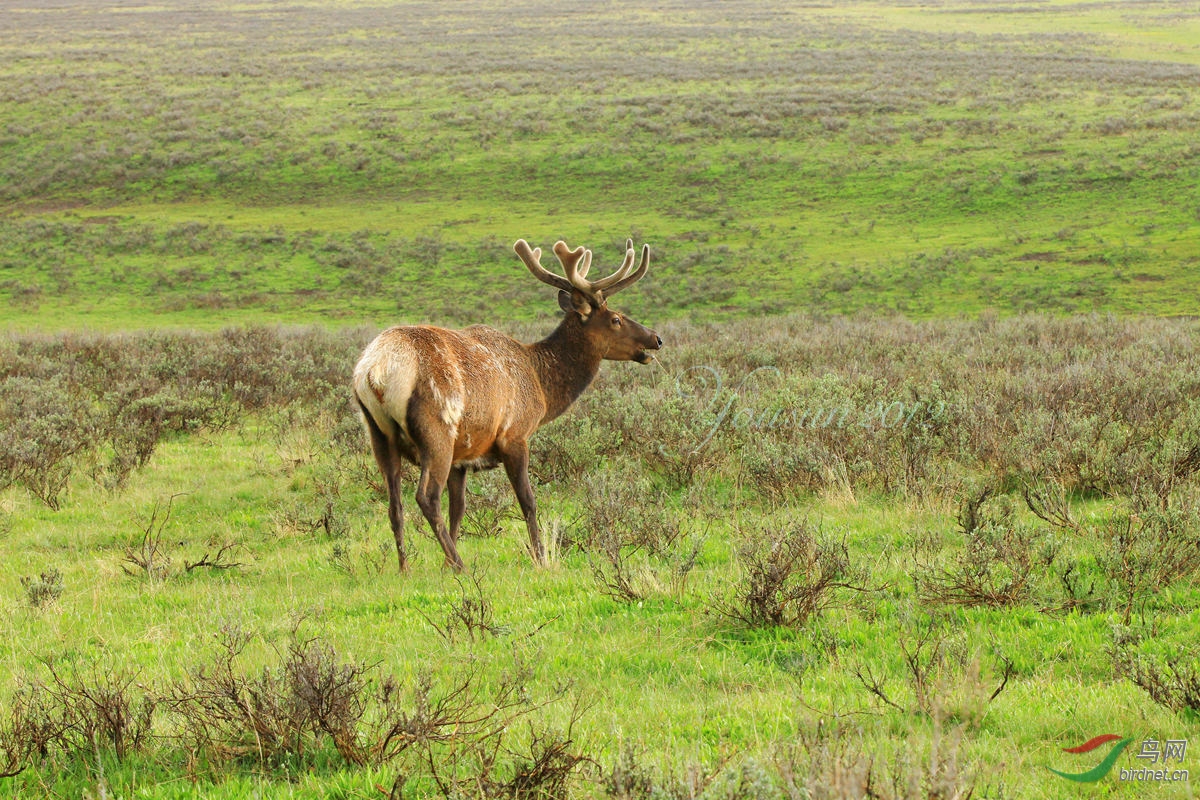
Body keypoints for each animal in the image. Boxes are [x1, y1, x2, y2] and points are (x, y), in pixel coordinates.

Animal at [350, 235, 662, 573]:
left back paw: (406, 568)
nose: (656, 338)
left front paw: (446, 566)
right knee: (426, 497)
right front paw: (540, 557)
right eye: (616, 319)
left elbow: (458, 508)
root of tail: (375, 370)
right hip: (437, 428)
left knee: (394, 504)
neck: (542, 389)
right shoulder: (514, 435)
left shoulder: (464, 454)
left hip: (378, 433)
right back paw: (460, 565)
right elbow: (528, 500)